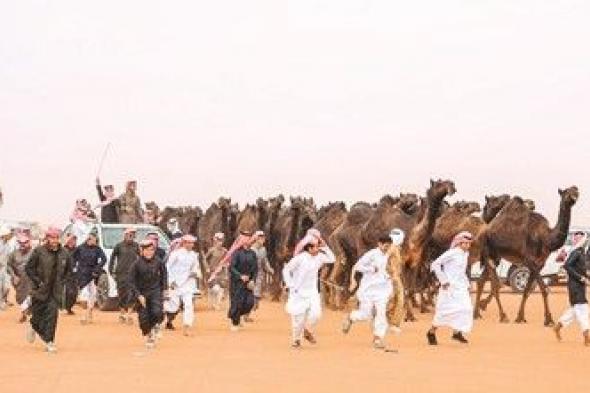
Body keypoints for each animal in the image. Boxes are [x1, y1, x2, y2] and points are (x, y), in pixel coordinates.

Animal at [478, 186, 580, 324]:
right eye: (567, 192)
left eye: (575, 189)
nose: (575, 194)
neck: (546, 237)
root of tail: (485, 230)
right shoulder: (529, 261)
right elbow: (543, 289)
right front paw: (549, 319)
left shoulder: (539, 264)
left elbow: (526, 291)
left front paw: (520, 317)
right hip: (488, 253)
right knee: (494, 284)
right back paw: (501, 315)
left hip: (495, 256)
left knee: (486, 281)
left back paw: (479, 311)